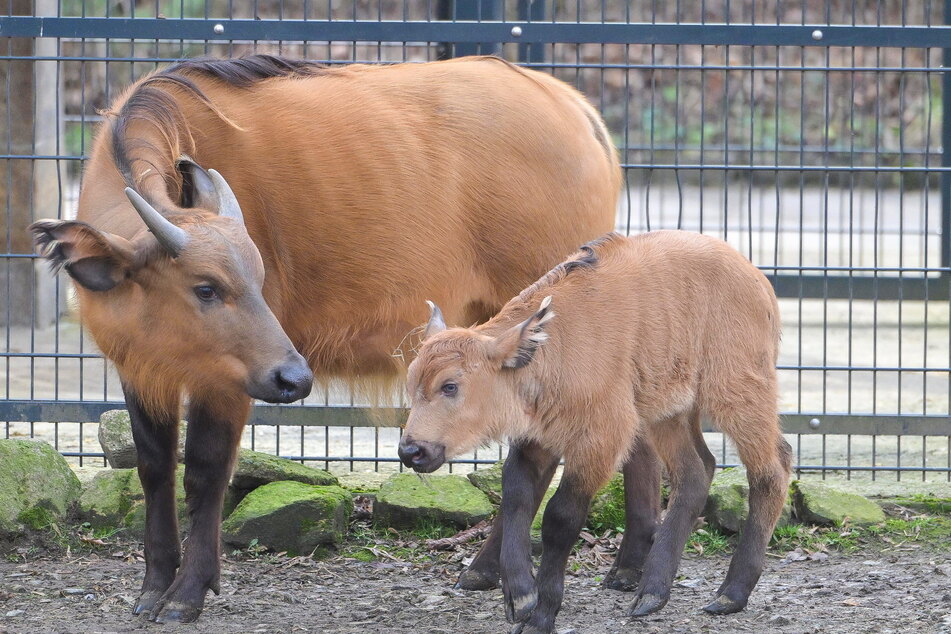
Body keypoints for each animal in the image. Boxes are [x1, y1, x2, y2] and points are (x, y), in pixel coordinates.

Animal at [29, 55, 620, 624]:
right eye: (206, 287)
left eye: (258, 278)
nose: (295, 377)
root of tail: (574, 108)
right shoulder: (140, 370)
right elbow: (154, 470)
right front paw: (154, 586)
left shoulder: (229, 381)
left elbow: (204, 472)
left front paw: (188, 591)